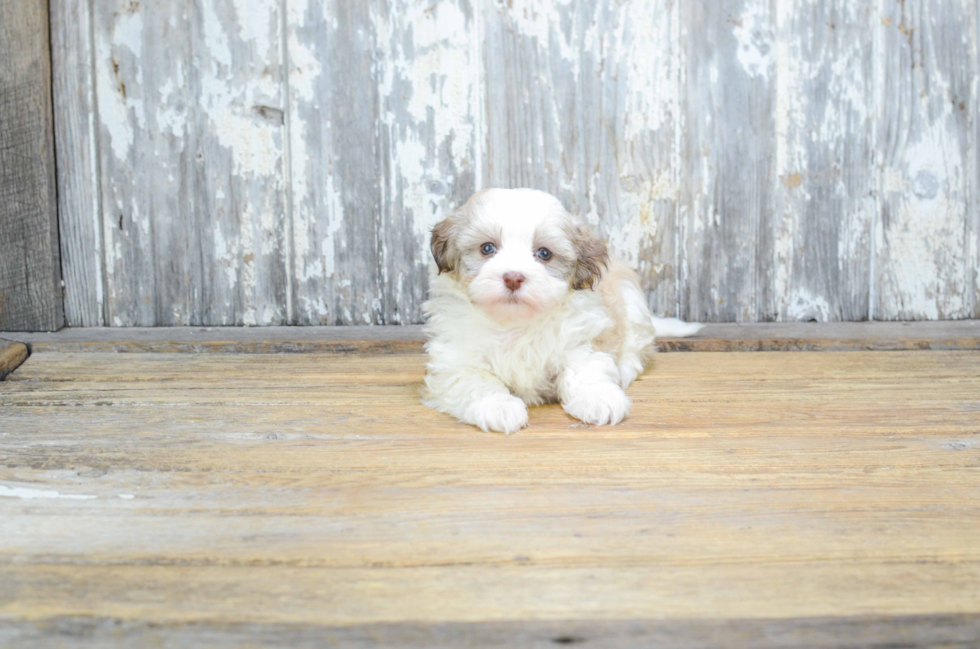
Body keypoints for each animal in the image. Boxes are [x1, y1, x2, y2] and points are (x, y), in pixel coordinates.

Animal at [422, 187, 704, 432]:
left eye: (544, 253)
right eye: (487, 248)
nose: (513, 277)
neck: (516, 324)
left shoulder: (582, 339)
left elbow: (585, 370)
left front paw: (599, 398)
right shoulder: (456, 361)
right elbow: (476, 382)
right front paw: (498, 407)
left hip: (631, 300)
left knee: (635, 348)